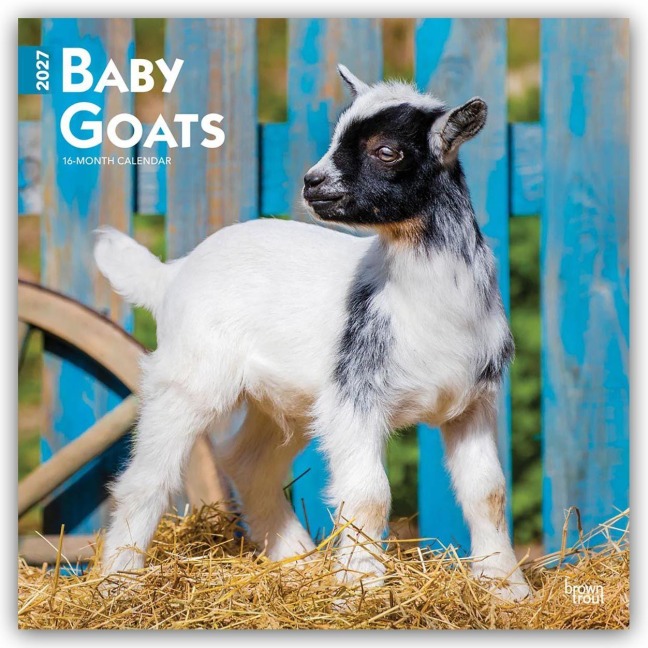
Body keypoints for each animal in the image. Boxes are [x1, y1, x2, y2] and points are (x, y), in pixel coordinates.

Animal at [94, 64, 530, 601]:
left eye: (387, 150)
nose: (312, 182)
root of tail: (172, 274)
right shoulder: (354, 400)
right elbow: (369, 496)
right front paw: (363, 589)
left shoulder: (473, 402)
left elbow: (488, 492)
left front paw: (508, 588)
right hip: (189, 377)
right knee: (147, 477)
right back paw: (118, 584)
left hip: (287, 401)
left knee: (248, 464)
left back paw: (297, 564)